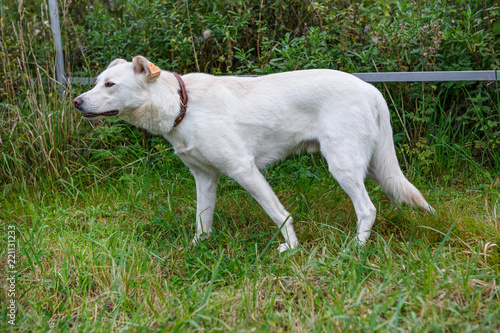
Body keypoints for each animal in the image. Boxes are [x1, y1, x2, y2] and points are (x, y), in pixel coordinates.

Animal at [73, 55, 434, 252]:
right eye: (96, 82)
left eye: (110, 85)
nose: (76, 102)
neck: (182, 105)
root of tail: (370, 88)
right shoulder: (205, 178)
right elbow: (202, 221)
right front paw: (197, 249)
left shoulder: (244, 170)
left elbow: (279, 214)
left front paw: (292, 248)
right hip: (372, 166)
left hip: (343, 166)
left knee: (368, 209)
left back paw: (355, 250)